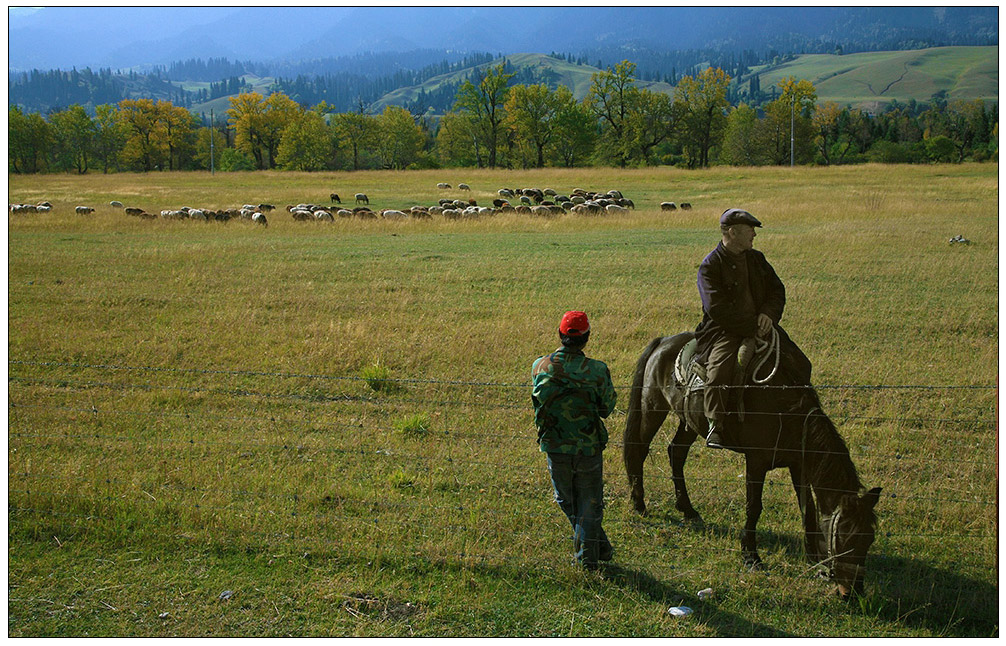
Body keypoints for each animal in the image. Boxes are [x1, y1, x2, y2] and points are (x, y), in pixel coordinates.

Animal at [619, 332, 881, 599]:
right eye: (844, 538)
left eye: (868, 539)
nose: (852, 592)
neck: (784, 411)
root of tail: (664, 341)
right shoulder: (756, 462)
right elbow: (754, 507)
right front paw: (751, 555)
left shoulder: (799, 466)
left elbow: (807, 510)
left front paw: (813, 556)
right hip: (653, 405)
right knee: (639, 450)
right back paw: (639, 503)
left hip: (689, 420)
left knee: (677, 453)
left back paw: (688, 509)